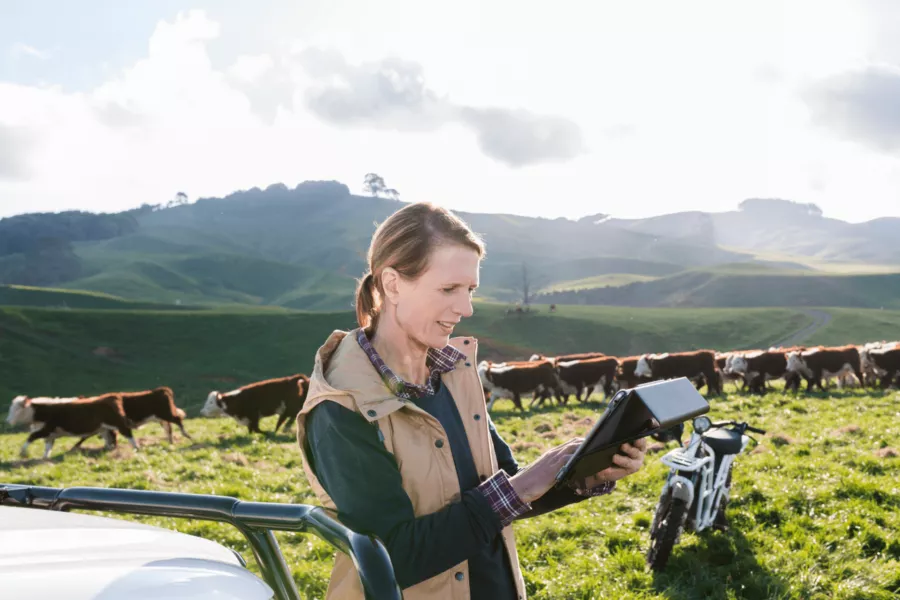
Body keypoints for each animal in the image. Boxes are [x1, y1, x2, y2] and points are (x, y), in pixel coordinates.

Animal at [4, 394, 137, 460]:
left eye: (16, 409)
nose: (7, 420)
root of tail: (112, 397)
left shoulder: (46, 429)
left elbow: (31, 437)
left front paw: (23, 452)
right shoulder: (50, 434)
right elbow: (48, 446)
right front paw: (45, 458)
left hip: (118, 423)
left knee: (127, 433)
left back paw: (136, 447)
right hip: (104, 428)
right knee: (110, 437)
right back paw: (109, 449)